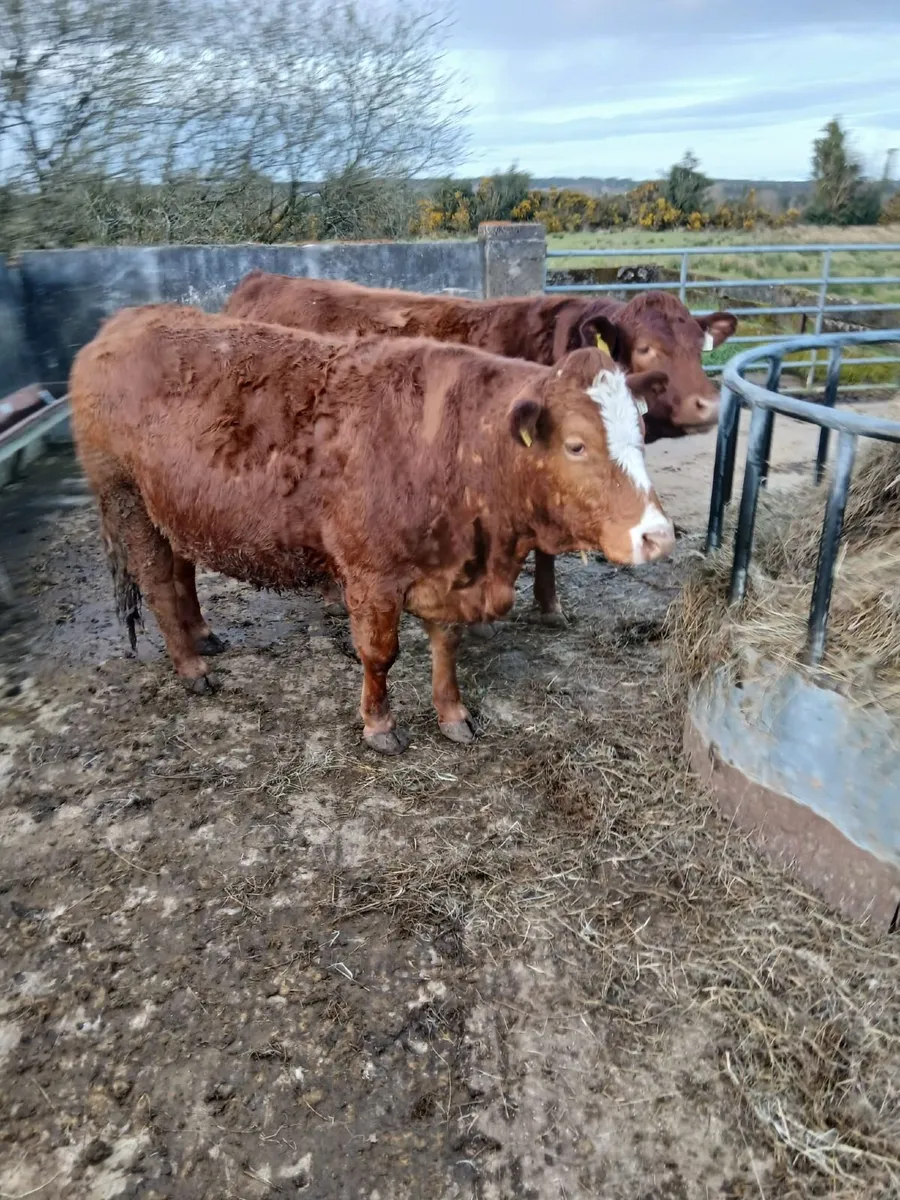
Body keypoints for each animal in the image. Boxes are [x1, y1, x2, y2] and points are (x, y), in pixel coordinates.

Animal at [69, 304, 675, 755]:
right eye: (575, 445)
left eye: (641, 430)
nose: (658, 535)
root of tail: (118, 324)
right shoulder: (371, 575)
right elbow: (379, 653)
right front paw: (379, 725)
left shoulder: (446, 568)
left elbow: (446, 643)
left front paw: (452, 713)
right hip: (126, 499)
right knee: (158, 583)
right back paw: (191, 666)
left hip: (176, 508)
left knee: (182, 570)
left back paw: (202, 635)